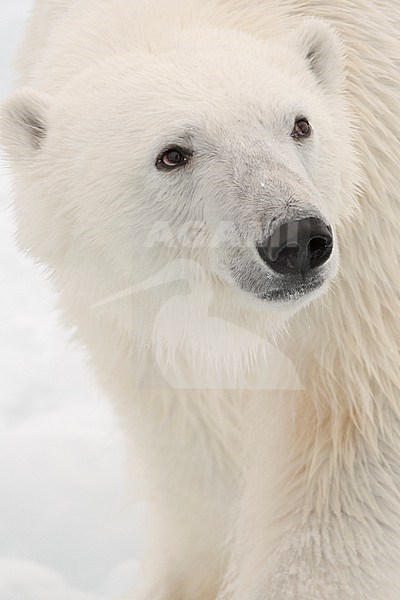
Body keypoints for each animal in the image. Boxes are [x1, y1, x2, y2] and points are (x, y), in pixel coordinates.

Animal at [0, 0, 400, 596]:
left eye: (300, 123)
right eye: (172, 154)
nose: (296, 240)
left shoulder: (368, 251)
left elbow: (345, 448)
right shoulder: (135, 316)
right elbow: (194, 439)